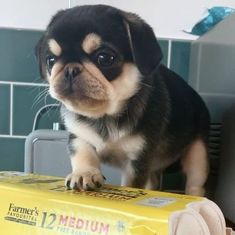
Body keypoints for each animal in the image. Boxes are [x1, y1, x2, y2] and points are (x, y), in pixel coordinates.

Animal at [35, 4, 209, 196]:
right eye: (50, 61)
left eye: (104, 58)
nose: (70, 69)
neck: (104, 116)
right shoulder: (79, 137)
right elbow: (83, 155)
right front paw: (84, 174)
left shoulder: (137, 161)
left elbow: (132, 183)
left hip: (198, 155)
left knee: (195, 183)